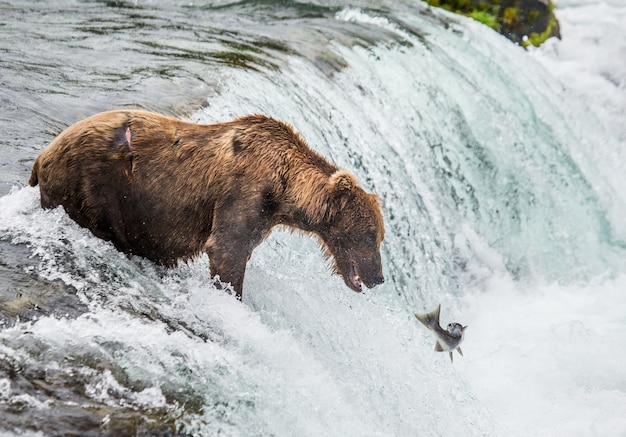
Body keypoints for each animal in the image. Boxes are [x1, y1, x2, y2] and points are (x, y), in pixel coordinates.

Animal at [30, 110, 386, 298]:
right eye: (370, 235)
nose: (379, 276)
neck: (283, 190)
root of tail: (42, 154)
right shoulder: (243, 194)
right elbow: (227, 252)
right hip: (91, 188)